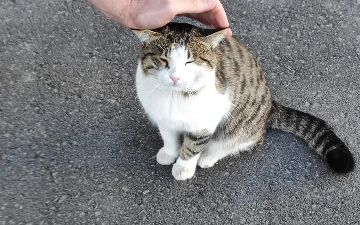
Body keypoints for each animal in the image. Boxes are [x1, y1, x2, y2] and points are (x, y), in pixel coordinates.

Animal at [131, 22, 354, 181]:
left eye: (189, 61)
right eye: (163, 60)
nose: (175, 78)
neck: (174, 95)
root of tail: (271, 105)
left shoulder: (205, 121)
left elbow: (193, 145)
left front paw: (183, 166)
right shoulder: (163, 117)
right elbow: (169, 138)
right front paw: (169, 153)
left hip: (241, 122)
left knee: (241, 141)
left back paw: (209, 156)